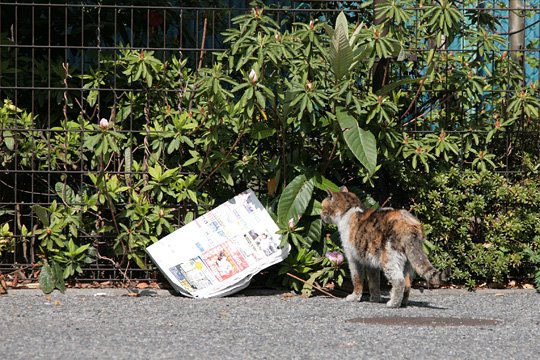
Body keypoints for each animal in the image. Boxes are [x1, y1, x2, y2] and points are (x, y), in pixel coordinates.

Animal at [320, 187, 452, 308]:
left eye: (322, 207)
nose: (320, 215)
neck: (350, 211)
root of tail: (409, 225)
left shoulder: (354, 259)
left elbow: (357, 279)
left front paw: (354, 297)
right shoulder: (371, 262)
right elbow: (374, 282)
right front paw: (375, 299)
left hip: (389, 259)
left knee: (399, 281)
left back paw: (393, 304)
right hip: (408, 262)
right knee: (407, 283)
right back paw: (402, 303)